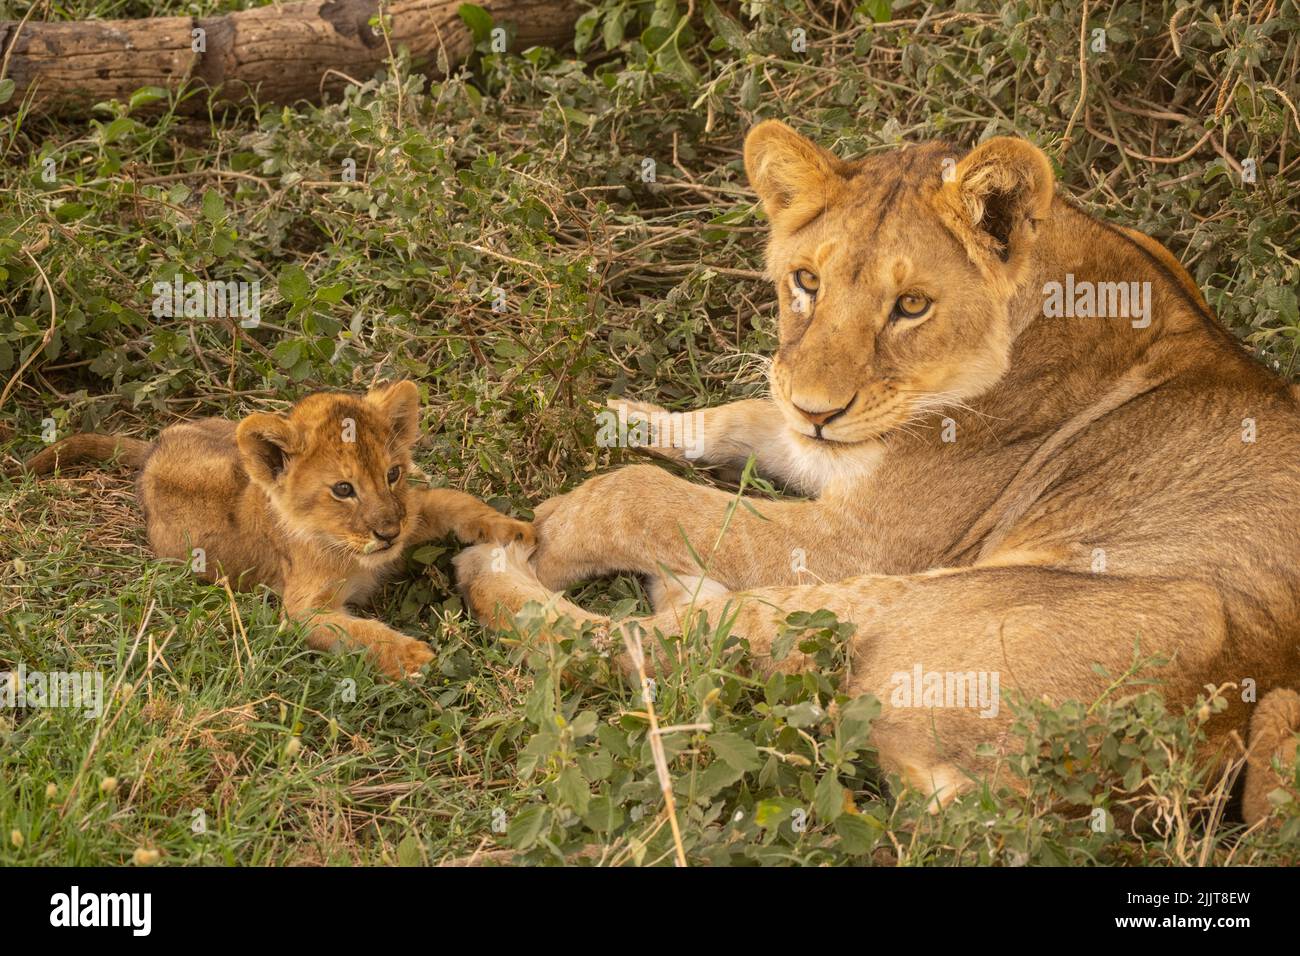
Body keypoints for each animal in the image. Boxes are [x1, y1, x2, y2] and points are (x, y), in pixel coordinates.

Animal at [24, 381, 533, 679]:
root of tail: (154, 445)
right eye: (343, 489)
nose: (387, 533)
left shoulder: (410, 512)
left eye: (392, 474)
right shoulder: (304, 609)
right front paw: (413, 656)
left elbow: (453, 501)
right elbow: (361, 632)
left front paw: (514, 530)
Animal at [455, 122, 1300, 823]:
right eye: (806, 282)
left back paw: (491, 563)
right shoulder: (830, 448)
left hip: (902, 604)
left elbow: (646, 497)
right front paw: (624, 417)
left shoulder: (866, 536)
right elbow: (740, 417)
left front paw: (555, 528)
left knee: (649, 645)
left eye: (912, 305)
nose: (819, 409)